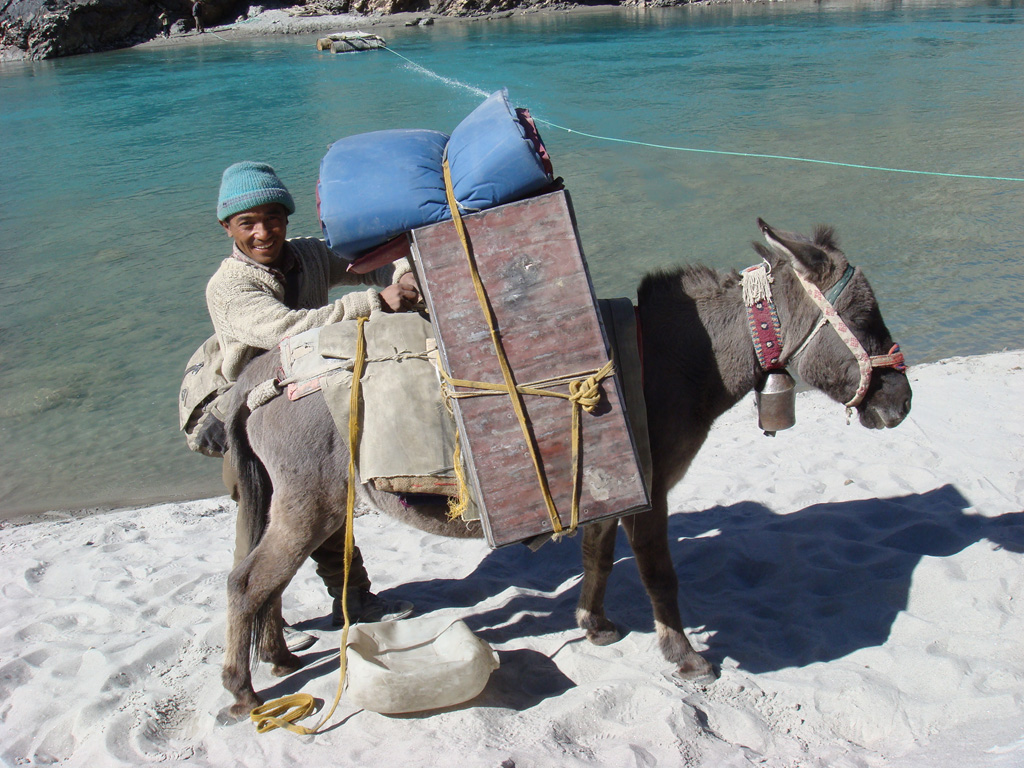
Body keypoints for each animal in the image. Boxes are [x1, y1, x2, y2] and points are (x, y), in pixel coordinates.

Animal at [218, 218, 912, 716]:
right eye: (864, 318)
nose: (902, 404)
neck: (673, 360)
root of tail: (256, 378)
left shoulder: (611, 484)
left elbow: (597, 557)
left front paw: (595, 627)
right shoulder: (651, 491)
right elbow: (660, 575)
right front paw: (686, 658)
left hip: (291, 502)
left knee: (262, 580)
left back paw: (278, 661)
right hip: (314, 503)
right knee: (248, 582)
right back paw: (242, 693)